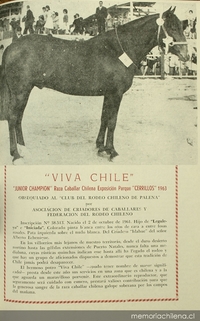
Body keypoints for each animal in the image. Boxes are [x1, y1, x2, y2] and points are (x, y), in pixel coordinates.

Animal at [0, 7, 188, 162]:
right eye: (172, 27)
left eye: (182, 26)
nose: (185, 54)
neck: (118, 50)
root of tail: (11, 47)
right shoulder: (116, 94)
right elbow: (112, 121)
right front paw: (112, 151)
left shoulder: (108, 94)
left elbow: (104, 118)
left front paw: (101, 147)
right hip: (20, 91)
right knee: (13, 118)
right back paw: (16, 154)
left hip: (25, 91)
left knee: (18, 118)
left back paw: (23, 148)